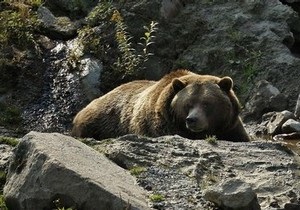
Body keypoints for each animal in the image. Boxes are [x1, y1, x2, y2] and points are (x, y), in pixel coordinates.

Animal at [71, 69, 250, 142]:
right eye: (188, 104)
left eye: (206, 103)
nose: (192, 120)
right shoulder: (161, 126)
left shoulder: (230, 126)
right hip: (98, 121)